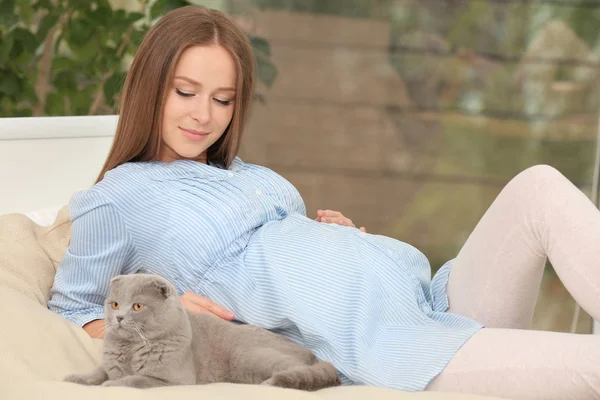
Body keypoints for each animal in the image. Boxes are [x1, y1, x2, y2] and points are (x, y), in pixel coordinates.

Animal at [64, 274, 342, 390]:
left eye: (137, 306)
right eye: (114, 304)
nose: (119, 318)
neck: (132, 349)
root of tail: (312, 354)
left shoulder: (171, 380)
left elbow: (134, 380)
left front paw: (111, 384)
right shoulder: (109, 364)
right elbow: (99, 372)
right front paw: (76, 379)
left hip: (251, 356)